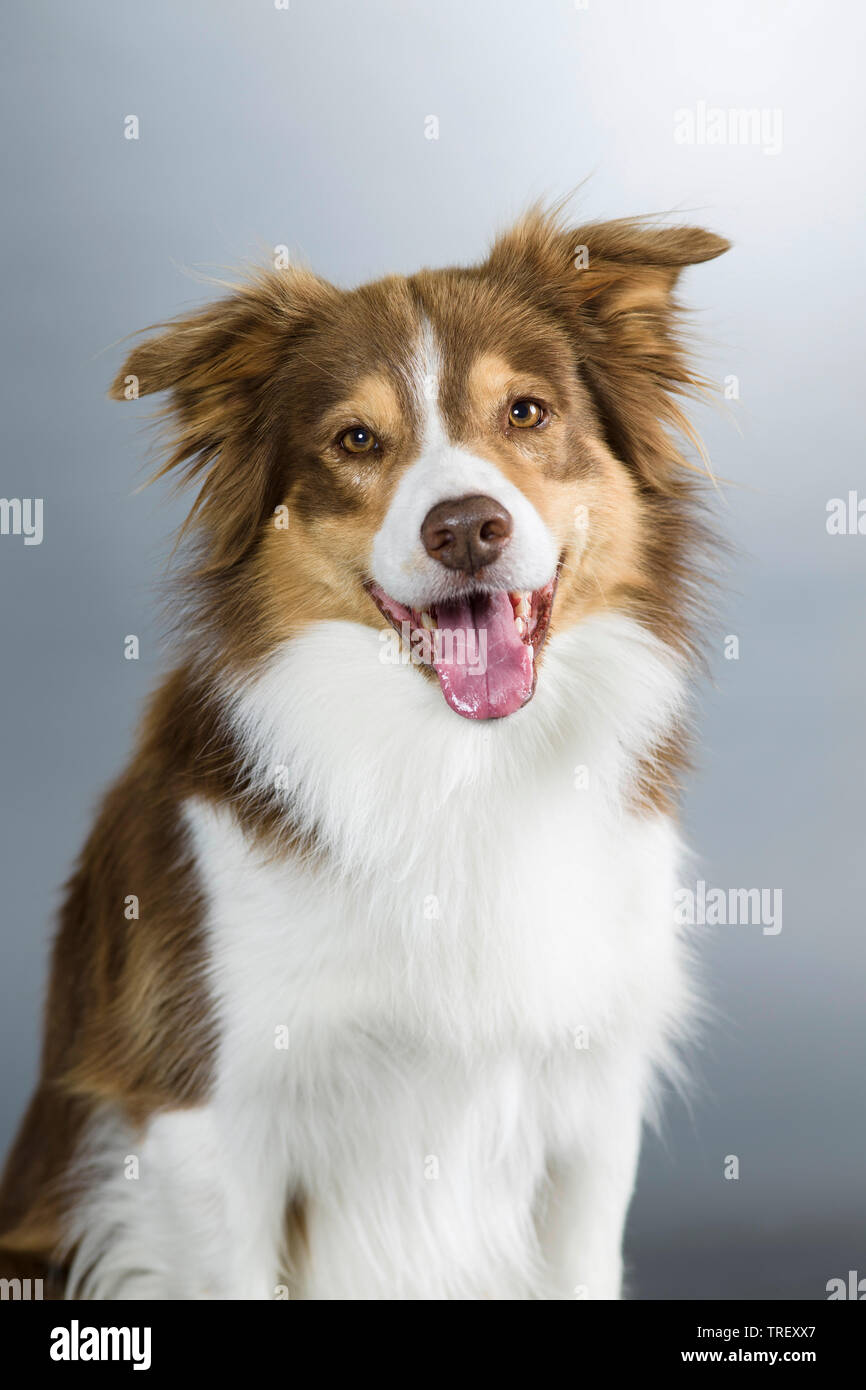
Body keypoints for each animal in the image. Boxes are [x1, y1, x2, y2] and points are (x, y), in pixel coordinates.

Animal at [0, 211, 733, 1295]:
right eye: (355, 440)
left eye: (526, 411)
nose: (465, 527)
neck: (459, 767)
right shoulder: (205, 1115)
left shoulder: (588, 1102)